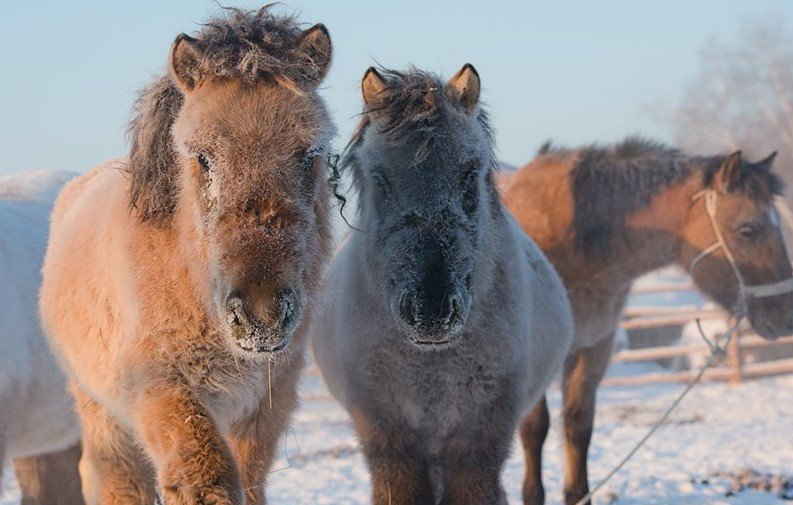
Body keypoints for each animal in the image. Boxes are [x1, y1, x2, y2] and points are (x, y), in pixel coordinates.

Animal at [39, 7, 334, 504]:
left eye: (308, 153)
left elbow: (248, 482)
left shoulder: (264, 404)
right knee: (118, 479)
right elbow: (205, 478)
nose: (261, 315)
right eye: (202, 158)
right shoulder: (163, 391)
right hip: (100, 410)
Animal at [310, 66, 576, 504]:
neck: (431, 365)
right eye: (379, 179)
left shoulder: (479, 441)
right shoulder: (390, 440)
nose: (430, 310)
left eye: (469, 175)